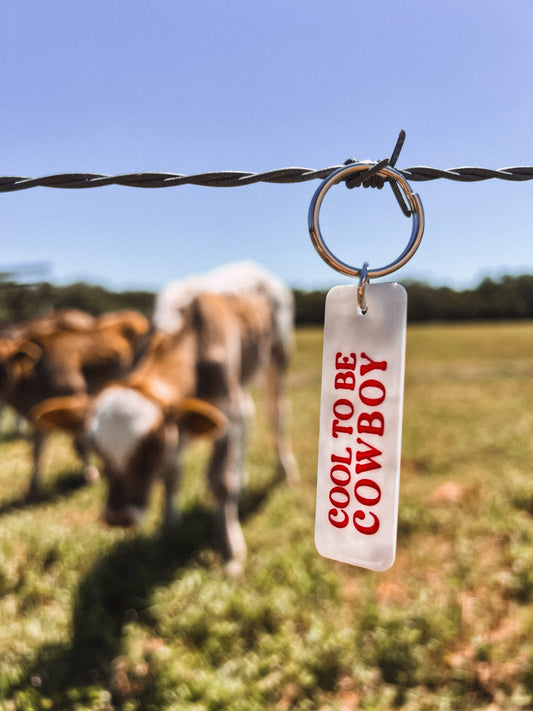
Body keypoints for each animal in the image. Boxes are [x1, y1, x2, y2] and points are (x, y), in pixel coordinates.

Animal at [0, 308, 151, 498]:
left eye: (5, 363)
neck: (33, 375)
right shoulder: (40, 417)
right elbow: (37, 451)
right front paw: (34, 488)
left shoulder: (75, 403)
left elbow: (81, 445)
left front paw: (92, 475)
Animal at [32, 264, 300, 576]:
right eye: (96, 447)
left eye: (152, 446)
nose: (119, 517)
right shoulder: (182, 420)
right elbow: (172, 473)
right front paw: (168, 525)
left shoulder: (225, 407)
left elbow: (221, 481)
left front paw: (230, 550)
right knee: (249, 417)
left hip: (279, 355)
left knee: (277, 414)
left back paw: (286, 470)